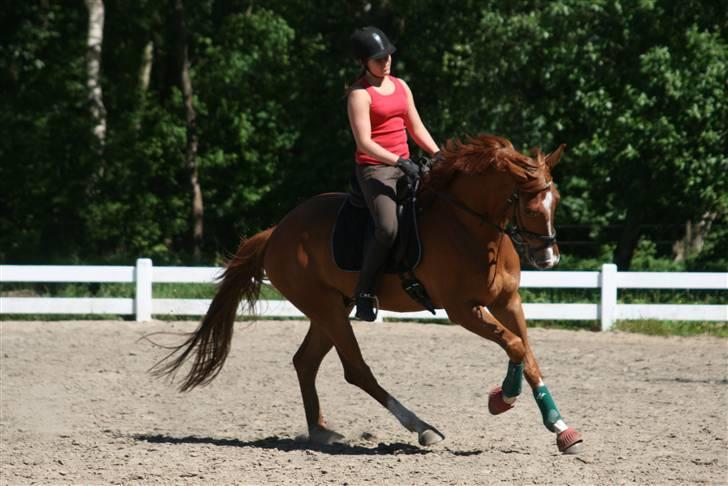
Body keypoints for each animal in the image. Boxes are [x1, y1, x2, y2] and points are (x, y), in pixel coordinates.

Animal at [154, 134, 584, 456]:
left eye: (556, 201)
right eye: (530, 205)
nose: (548, 258)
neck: (471, 227)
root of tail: (277, 231)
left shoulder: (506, 301)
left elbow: (526, 353)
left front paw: (561, 427)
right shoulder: (462, 309)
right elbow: (514, 345)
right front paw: (502, 399)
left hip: (330, 309)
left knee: (305, 362)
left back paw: (320, 431)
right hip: (327, 309)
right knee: (355, 369)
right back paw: (421, 427)